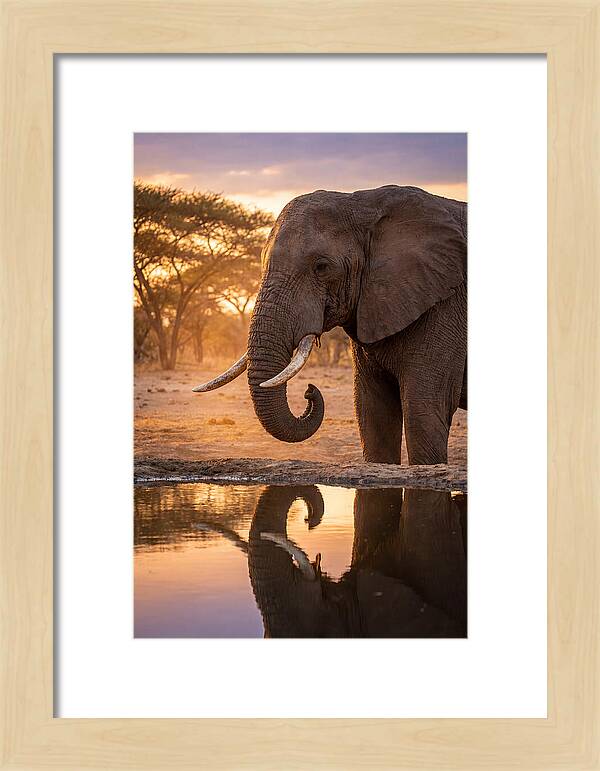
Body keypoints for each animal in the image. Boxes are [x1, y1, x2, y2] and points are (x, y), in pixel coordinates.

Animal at [194, 185, 467, 465]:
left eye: (322, 267)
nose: (309, 391)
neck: (365, 203)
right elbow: (372, 412)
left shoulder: (445, 305)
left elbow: (423, 411)